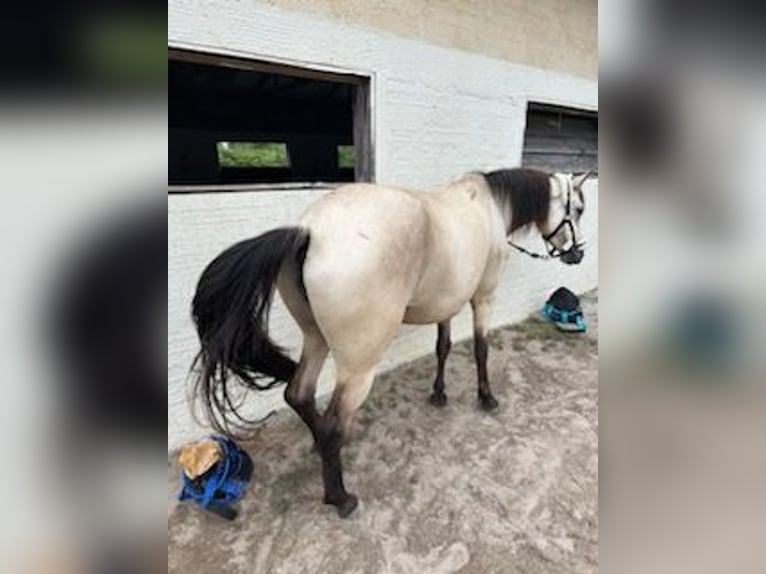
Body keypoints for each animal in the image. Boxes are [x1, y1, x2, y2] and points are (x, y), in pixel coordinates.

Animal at [190, 169, 592, 520]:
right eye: (578, 208)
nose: (578, 254)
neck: (489, 205)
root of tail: (311, 232)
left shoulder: (445, 306)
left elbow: (443, 347)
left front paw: (439, 394)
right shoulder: (483, 299)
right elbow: (481, 349)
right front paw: (486, 398)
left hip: (315, 339)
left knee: (299, 394)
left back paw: (318, 445)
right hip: (358, 366)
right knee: (333, 423)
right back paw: (340, 497)